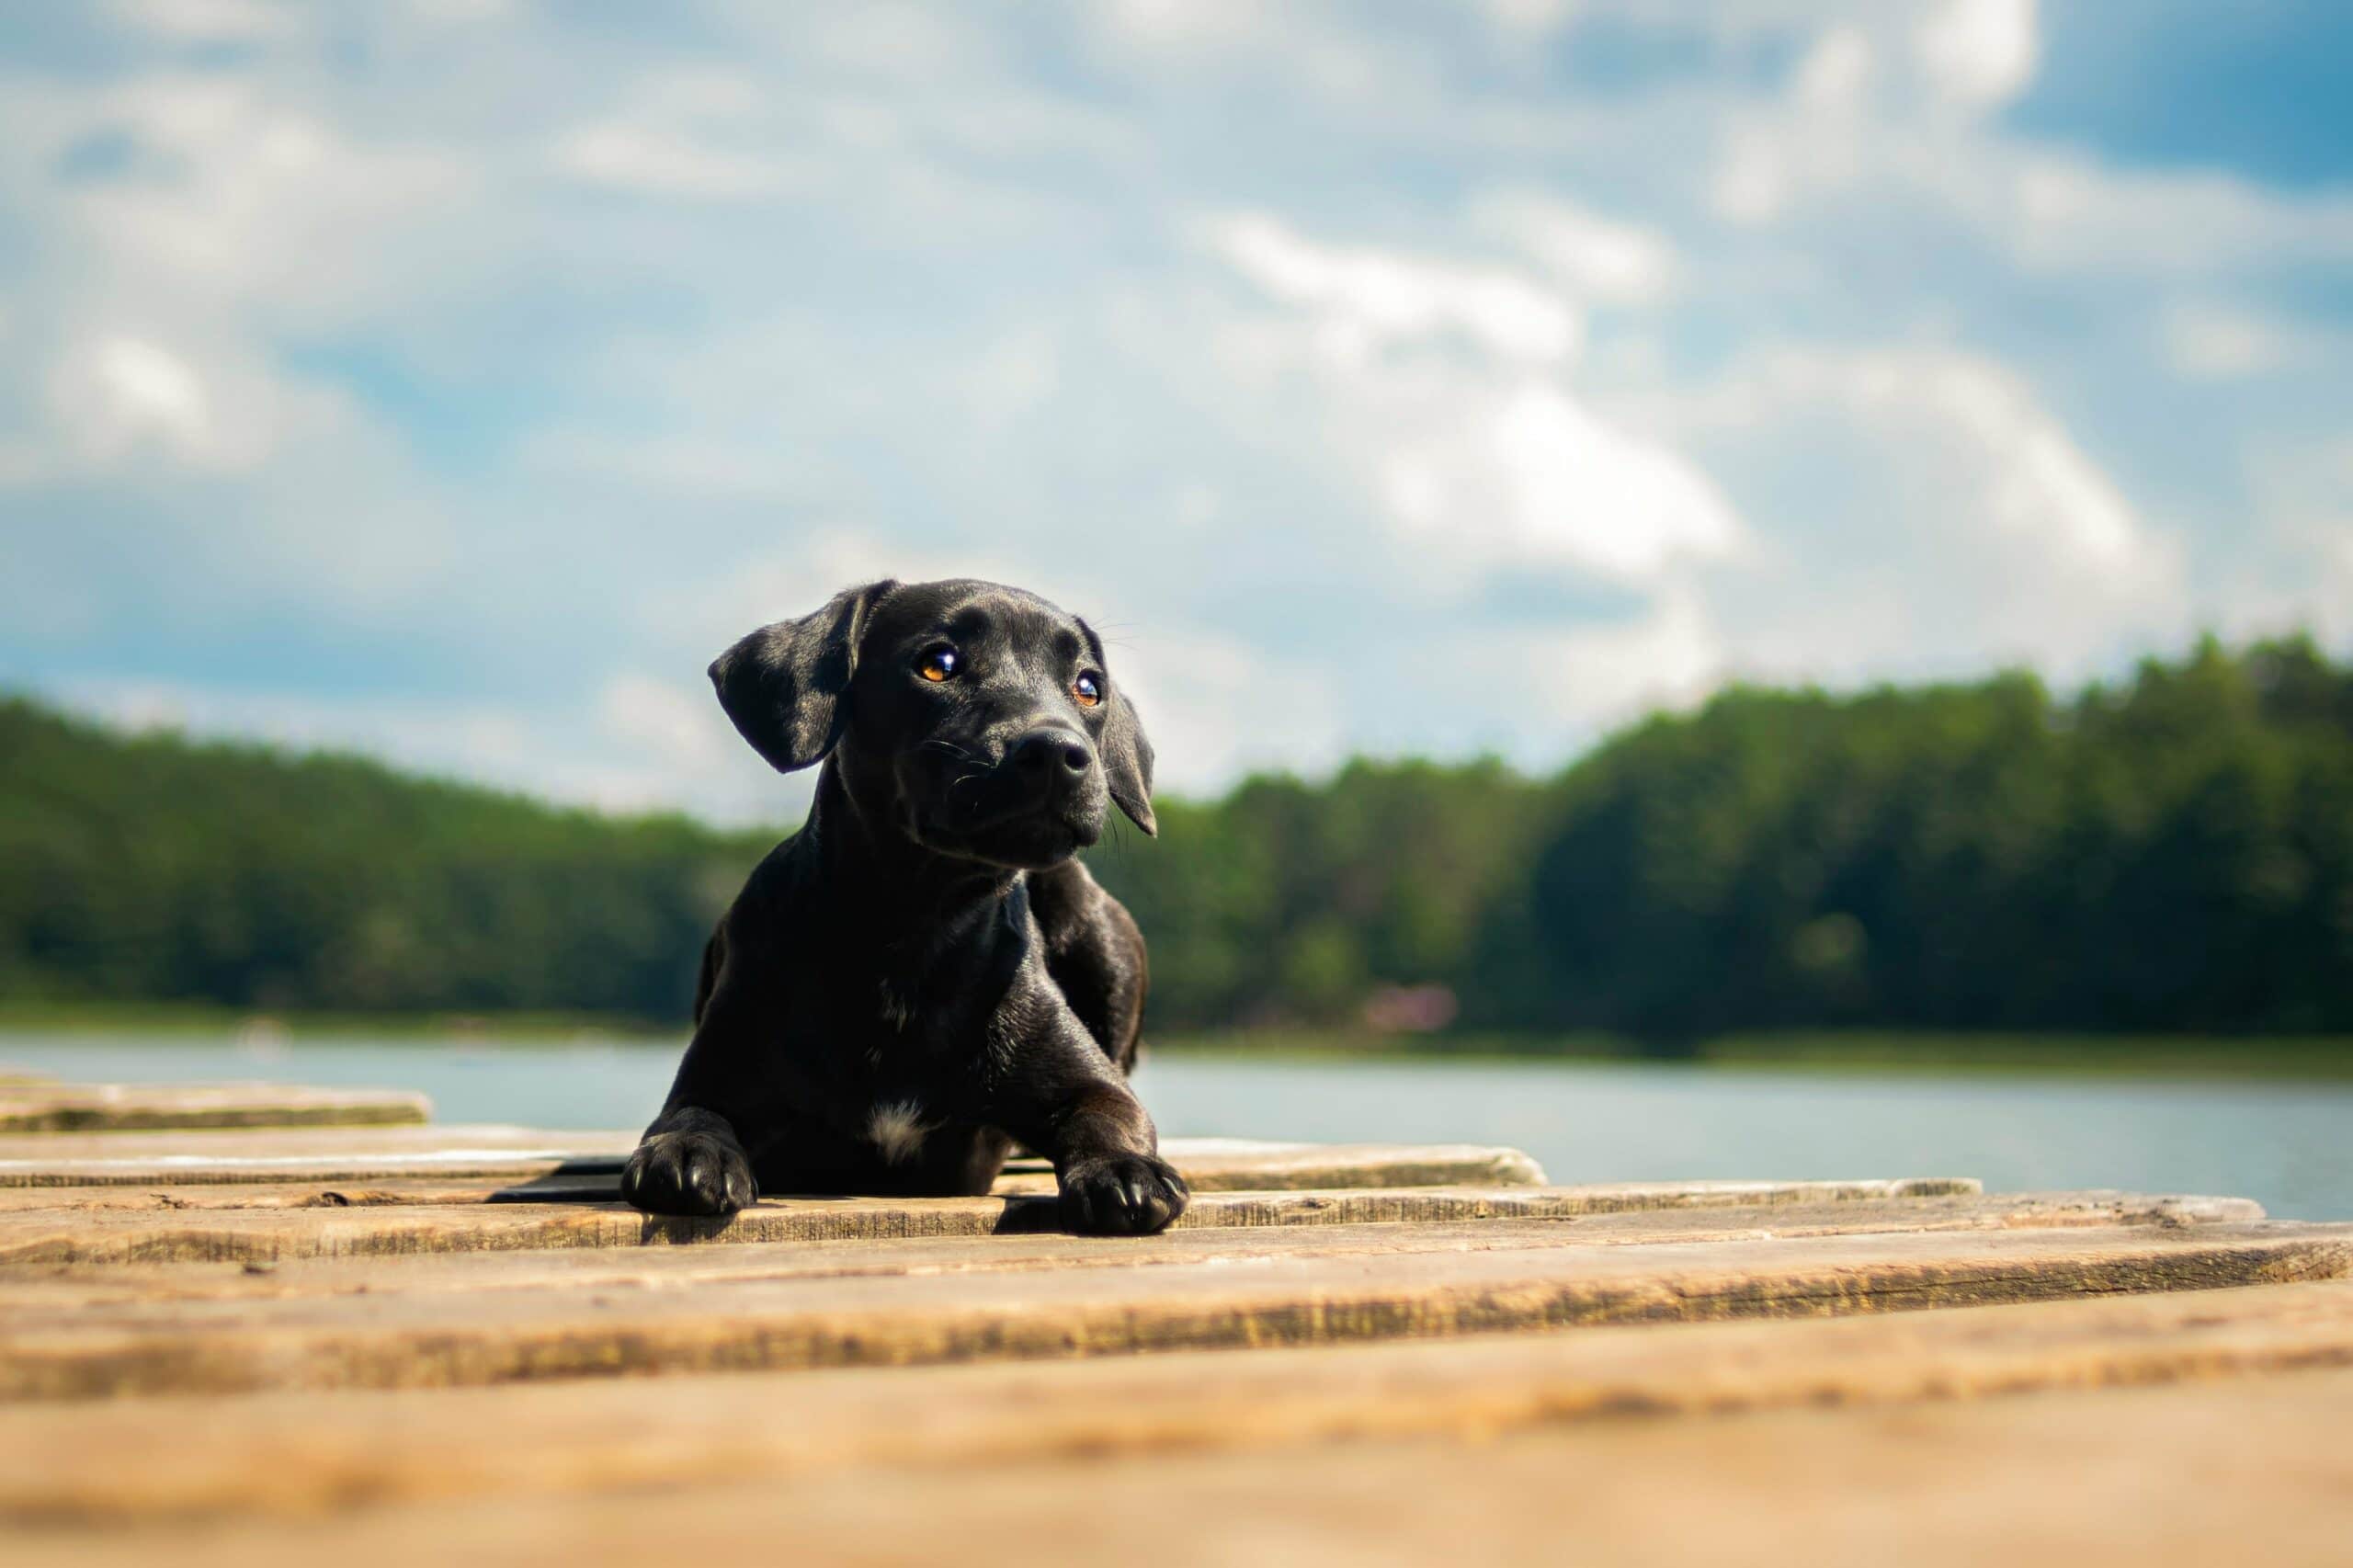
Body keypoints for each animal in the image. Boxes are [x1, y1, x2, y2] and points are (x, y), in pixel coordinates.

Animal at [620, 576, 1195, 1233]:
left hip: (1106, 940)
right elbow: (691, 1117)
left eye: (1088, 686)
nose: (1057, 751)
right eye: (937, 664)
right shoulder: (718, 1071)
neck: (916, 928)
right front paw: (690, 1154)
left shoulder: (1094, 1086)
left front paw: (1126, 1170)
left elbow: (1108, 1118)